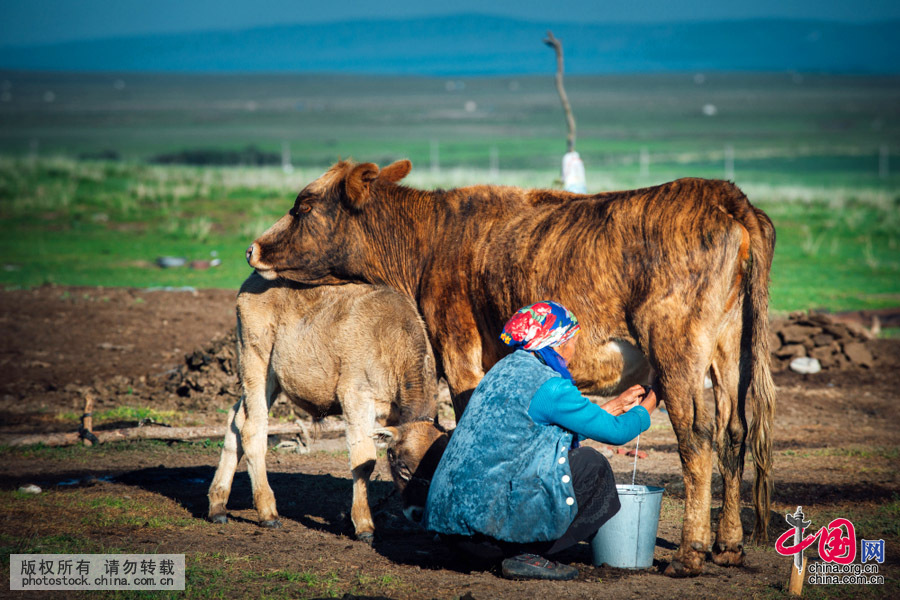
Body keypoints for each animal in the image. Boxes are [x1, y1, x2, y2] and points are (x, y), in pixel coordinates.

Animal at [207, 274, 440, 544]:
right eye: (403, 467)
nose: (418, 513)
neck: (392, 339)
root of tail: (253, 280)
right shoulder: (355, 397)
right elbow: (364, 460)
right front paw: (364, 525)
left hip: (269, 382)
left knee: (235, 419)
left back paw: (218, 506)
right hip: (256, 364)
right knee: (252, 428)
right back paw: (267, 512)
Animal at [244, 159, 772, 576]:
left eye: (303, 205)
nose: (253, 248)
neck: (431, 242)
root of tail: (720, 194)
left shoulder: (459, 355)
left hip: (677, 348)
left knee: (697, 439)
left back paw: (690, 553)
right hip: (730, 350)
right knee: (734, 433)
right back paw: (729, 546)